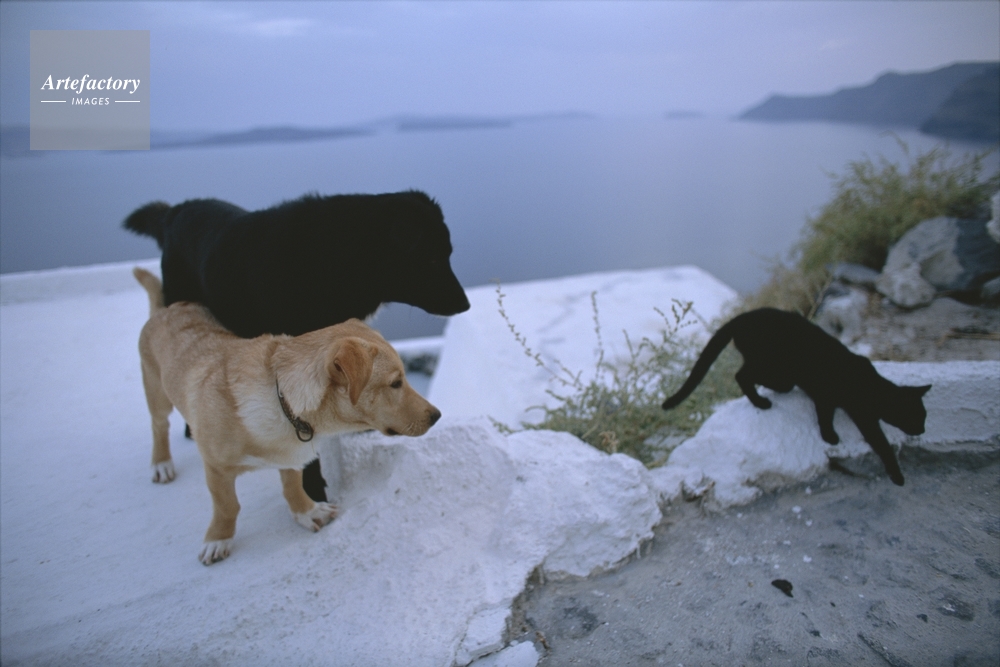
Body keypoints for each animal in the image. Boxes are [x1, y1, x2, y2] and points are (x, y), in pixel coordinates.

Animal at [123, 190, 469, 502]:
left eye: (449, 252)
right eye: (432, 258)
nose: (466, 304)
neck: (332, 260)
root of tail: (175, 210)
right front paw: (313, 488)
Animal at [133, 267, 441, 565]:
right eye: (395, 383)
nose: (436, 416)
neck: (281, 399)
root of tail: (165, 309)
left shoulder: (292, 453)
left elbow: (293, 484)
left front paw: (307, 511)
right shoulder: (216, 466)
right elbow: (227, 505)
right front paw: (217, 539)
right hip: (156, 391)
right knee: (158, 425)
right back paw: (161, 463)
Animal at [662, 308, 931, 486]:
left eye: (924, 417)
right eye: (916, 417)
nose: (922, 430)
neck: (872, 386)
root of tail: (741, 317)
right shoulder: (835, 401)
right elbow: (876, 441)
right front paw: (831, 437)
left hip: (776, 368)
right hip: (771, 363)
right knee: (742, 375)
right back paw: (761, 401)